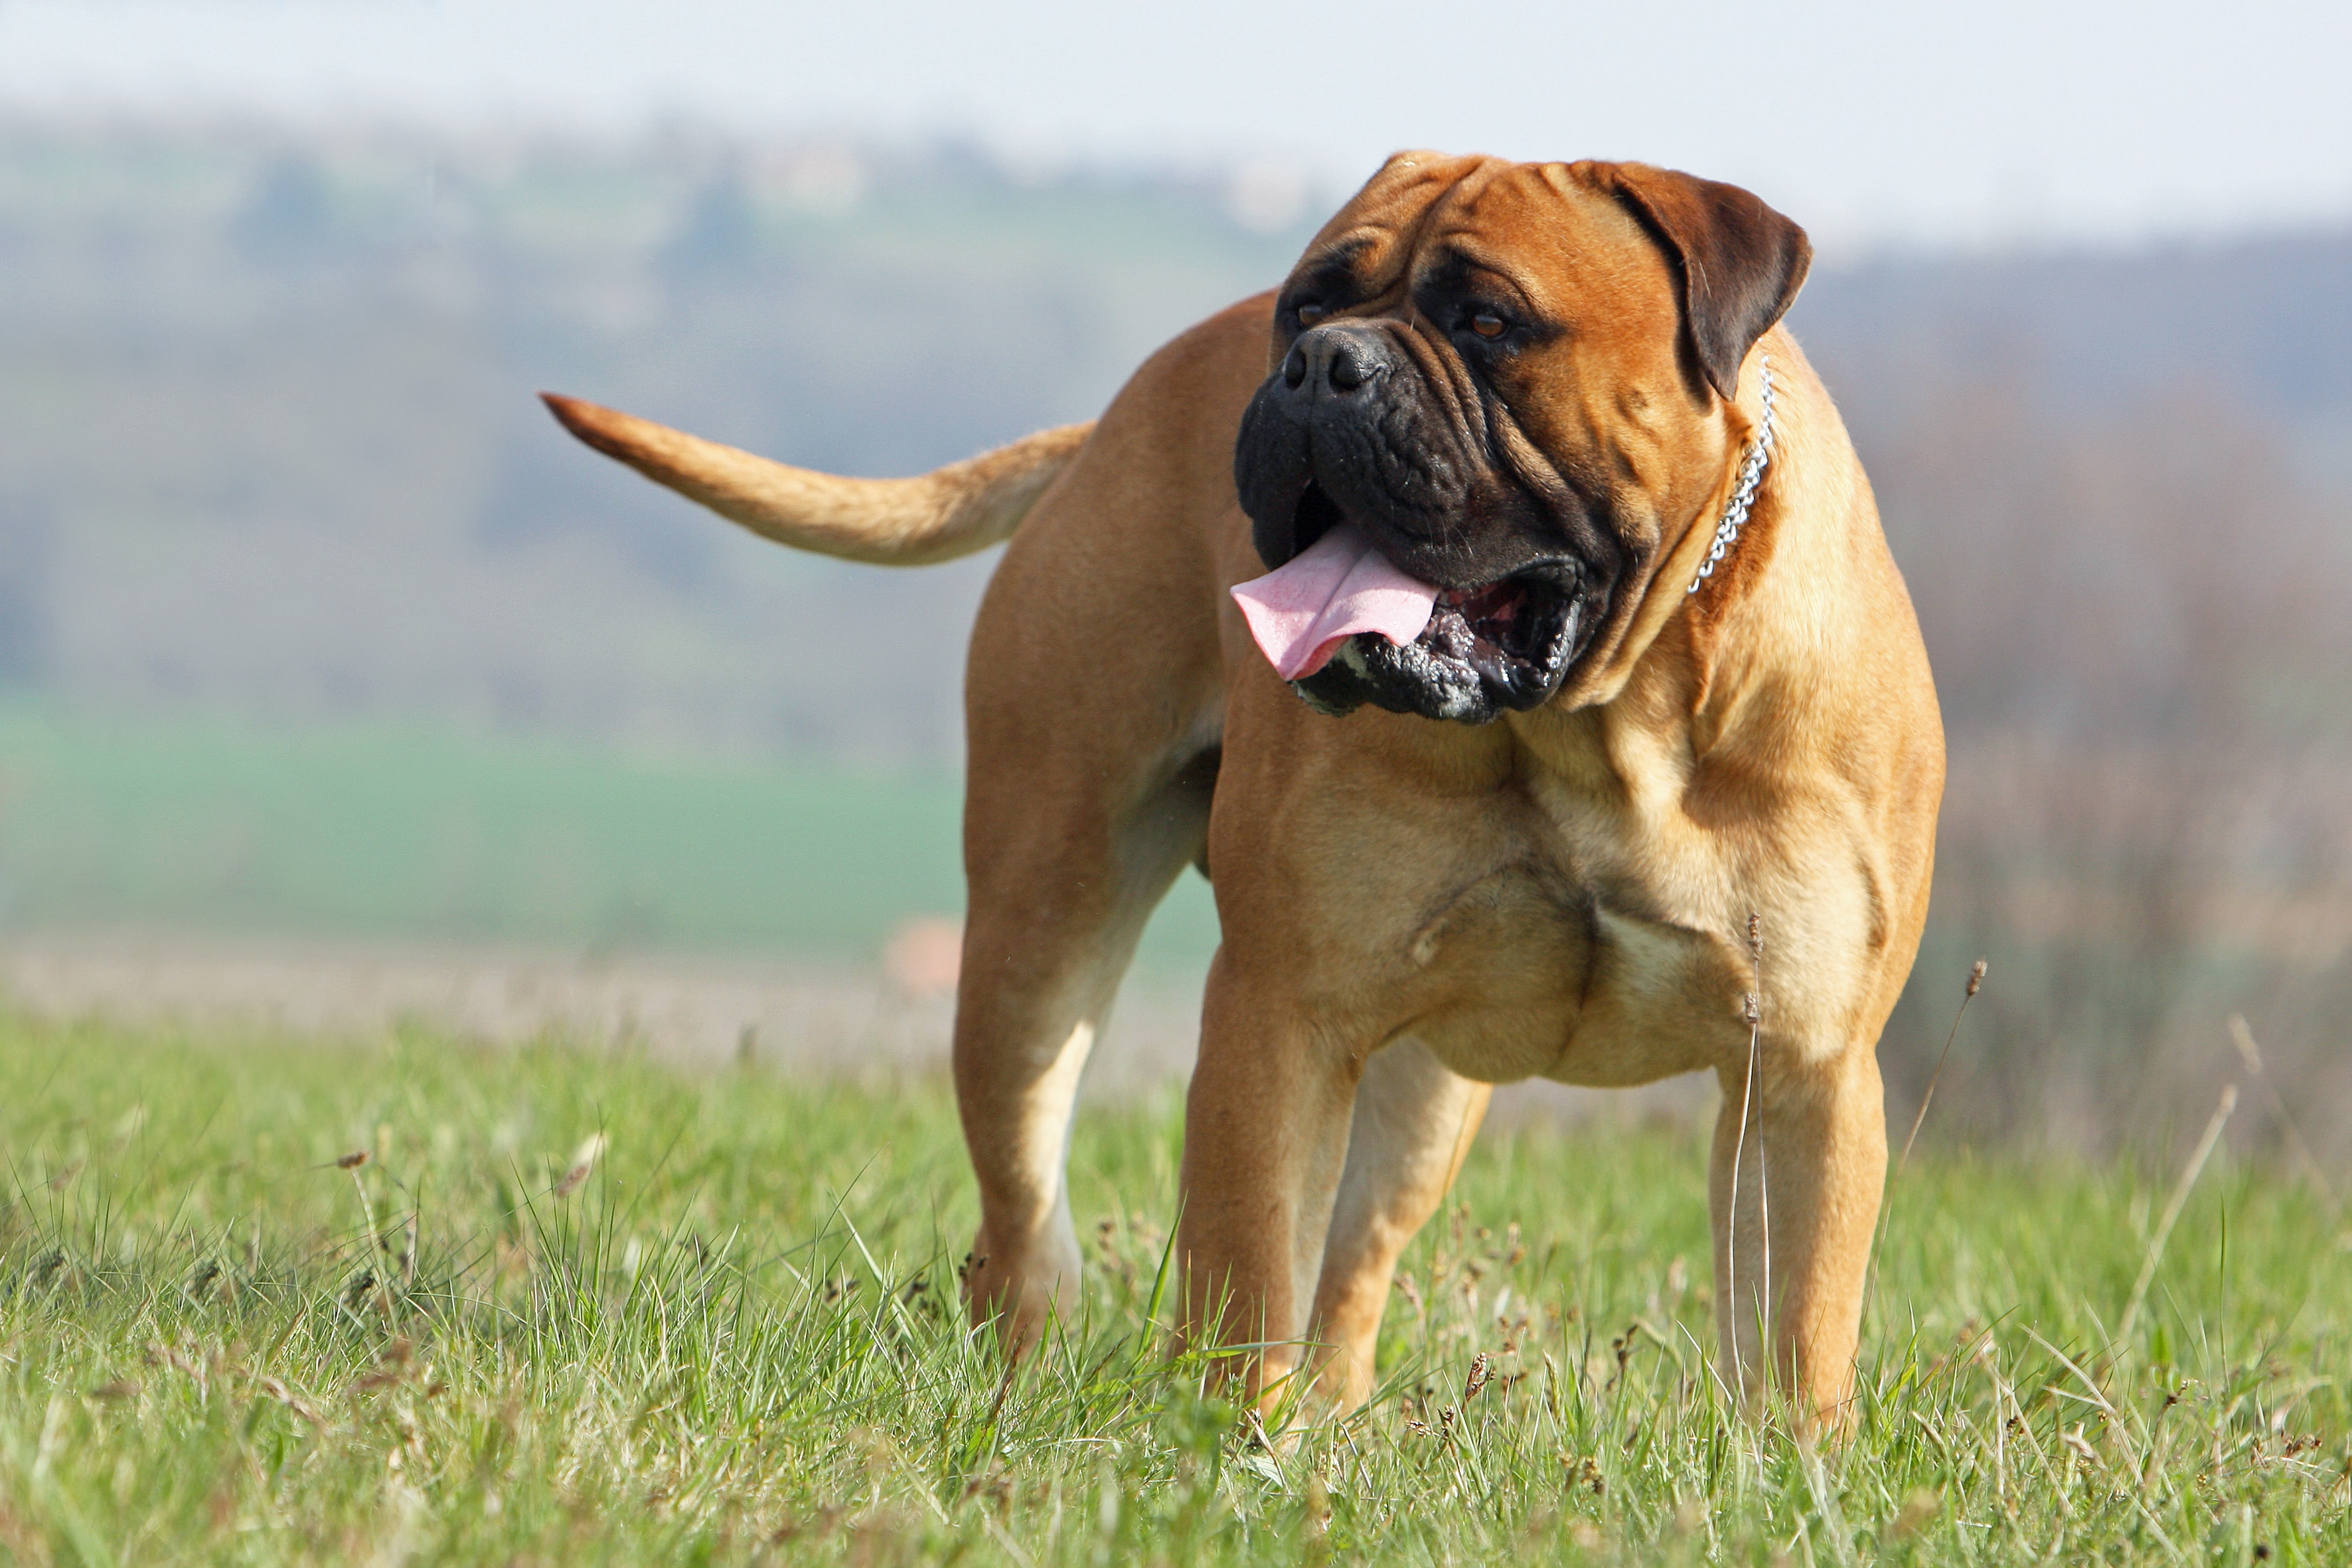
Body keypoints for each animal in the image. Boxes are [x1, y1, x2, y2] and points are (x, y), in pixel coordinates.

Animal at [540, 153, 1938, 1429]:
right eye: (1305, 304)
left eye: (1489, 321)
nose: (1321, 366)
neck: (1596, 721)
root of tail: (1101, 427)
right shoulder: (1280, 1015)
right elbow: (1247, 1264)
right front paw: (1230, 1446)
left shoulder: (1804, 1071)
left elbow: (1796, 1327)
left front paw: (1786, 1474)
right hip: (1036, 941)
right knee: (1026, 1216)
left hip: (1420, 1092)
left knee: (1354, 1268)